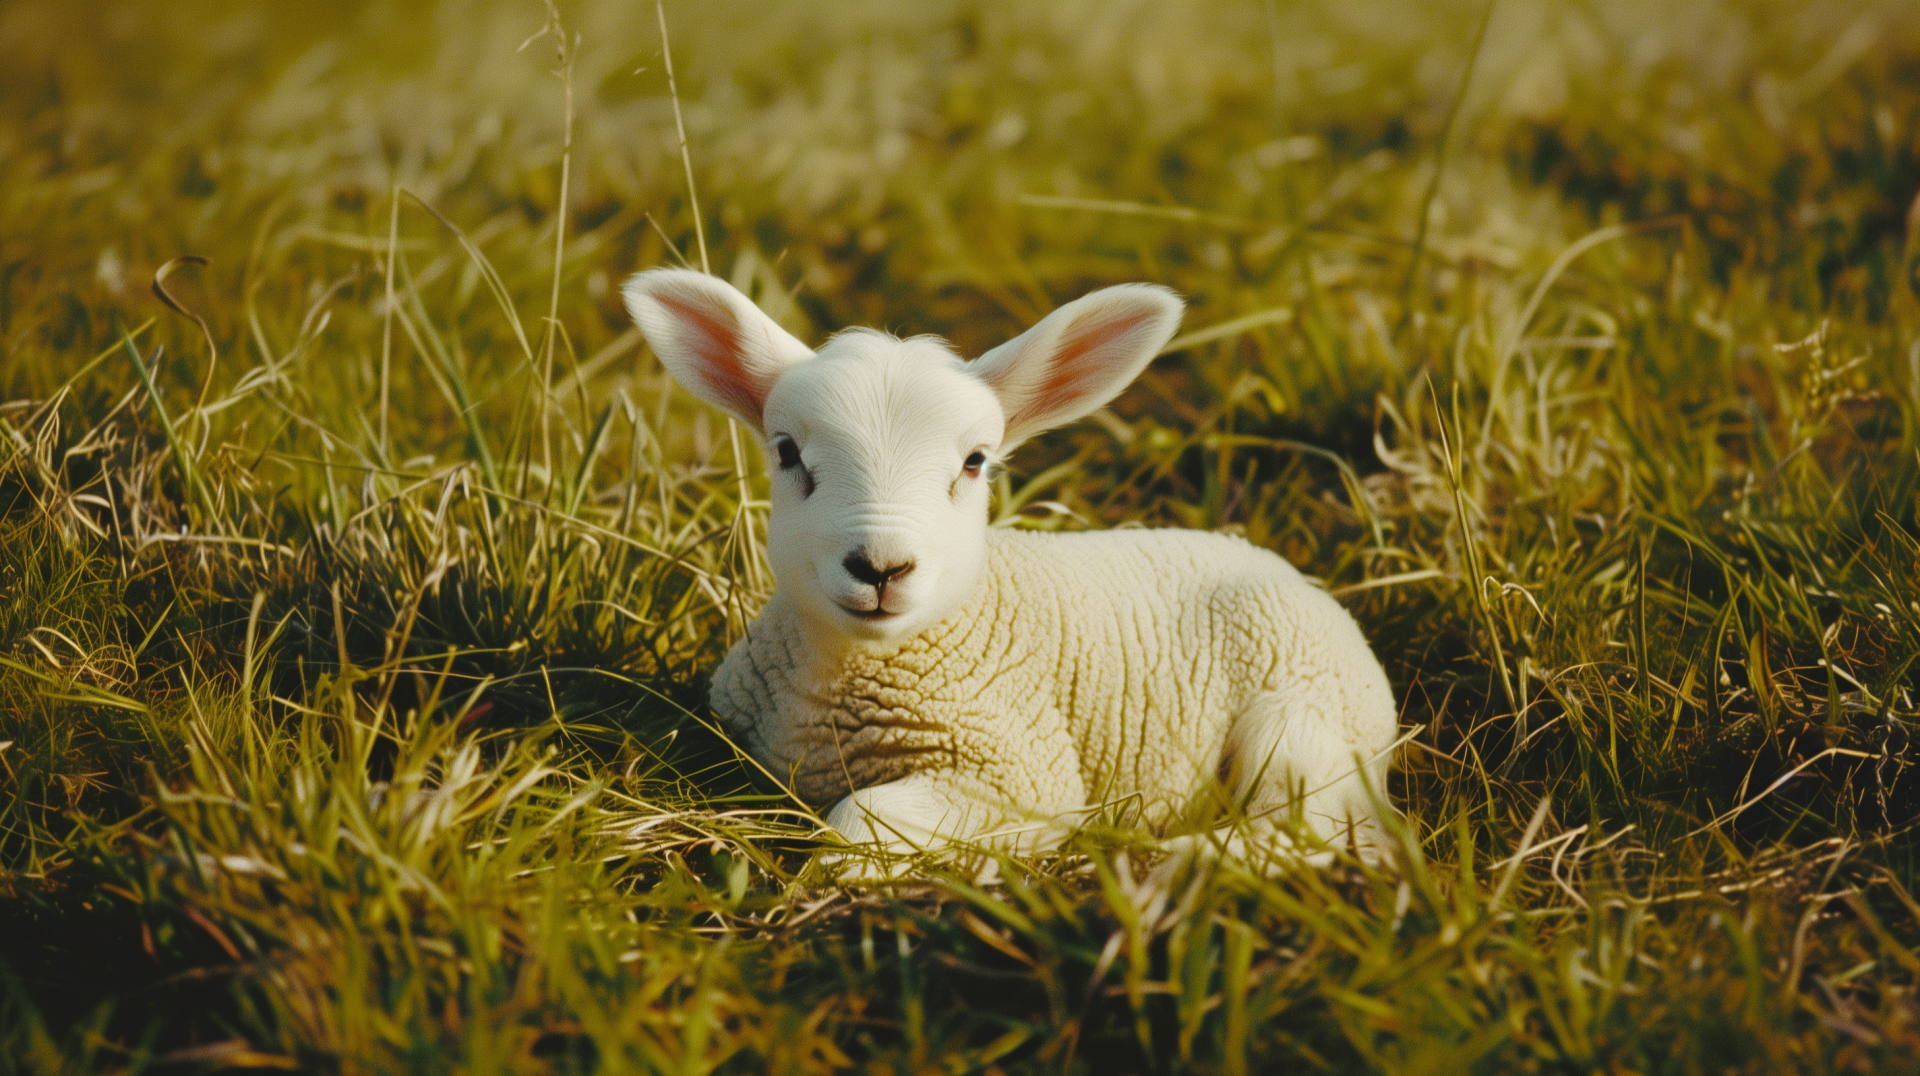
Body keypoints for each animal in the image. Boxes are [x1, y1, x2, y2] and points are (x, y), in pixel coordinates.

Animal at [622, 268, 1400, 863]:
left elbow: (862, 821)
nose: (880, 567)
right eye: (786, 452)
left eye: (975, 462)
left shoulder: (1023, 774)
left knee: (1309, 834)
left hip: (1303, 728)